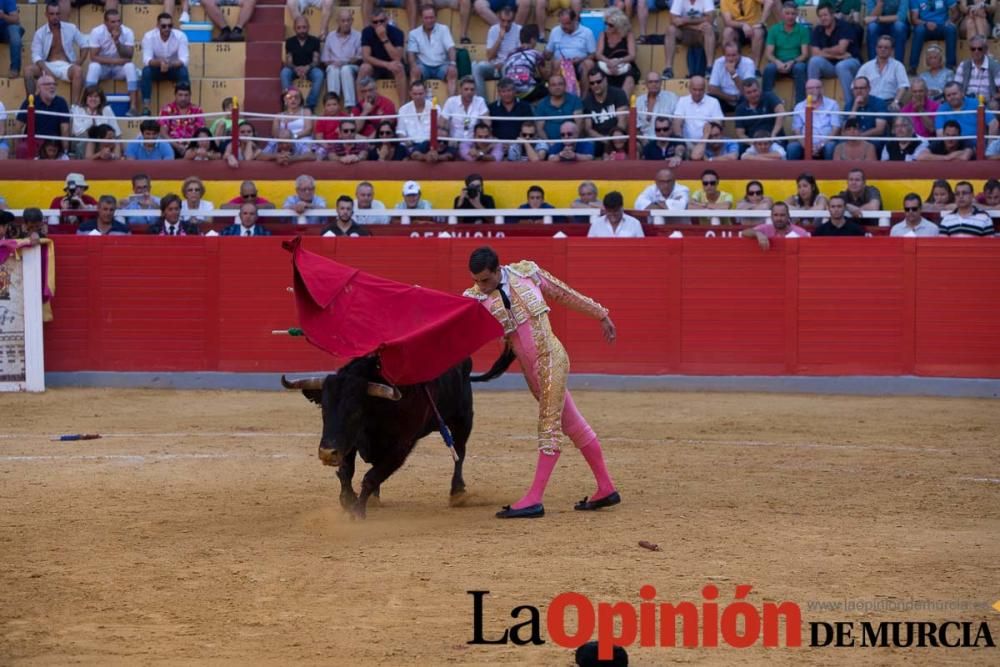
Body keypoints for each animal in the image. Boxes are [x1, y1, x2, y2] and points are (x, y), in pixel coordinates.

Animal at [284, 348, 512, 520]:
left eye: (355, 411)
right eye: (324, 409)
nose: (326, 453)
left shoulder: (401, 446)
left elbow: (371, 476)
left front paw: (358, 511)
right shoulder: (350, 442)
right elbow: (347, 472)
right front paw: (348, 501)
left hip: (463, 420)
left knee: (460, 453)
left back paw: (457, 493)